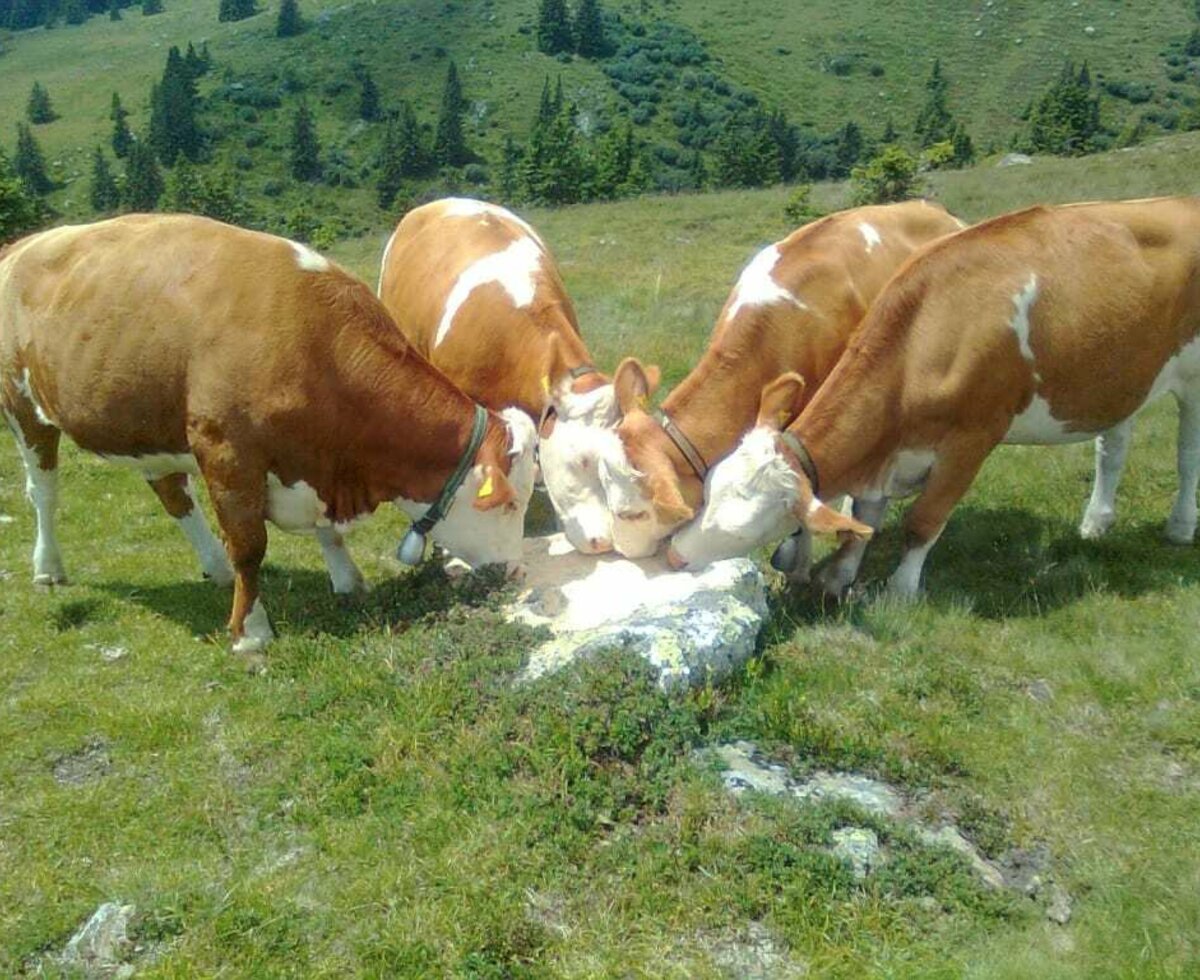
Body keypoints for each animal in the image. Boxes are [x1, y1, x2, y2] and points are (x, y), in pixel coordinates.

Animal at [0, 218, 535, 652]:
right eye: (509, 503)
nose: (515, 569)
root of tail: (22, 244)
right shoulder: (227, 451)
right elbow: (249, 546)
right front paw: (251, 632)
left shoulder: (314, 462)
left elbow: (327, 533)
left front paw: (347, 580)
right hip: (24, 407)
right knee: (43, 491)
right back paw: (48, 567)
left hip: (143, 419)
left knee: (172, 492)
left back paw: (213, 568)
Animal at [667, 197, 1200, 597]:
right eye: (708, 493)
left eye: (746, 528)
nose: (673, 554)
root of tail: (1181, 201)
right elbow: (865, 515)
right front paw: (840, 575)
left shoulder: (972, 439)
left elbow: (923, 521)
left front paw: (900, 592)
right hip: (1121, 368)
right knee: (1114, 443)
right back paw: (1096, 522)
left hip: (1193, 375)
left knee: (1186, 453)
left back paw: (1179, 527)